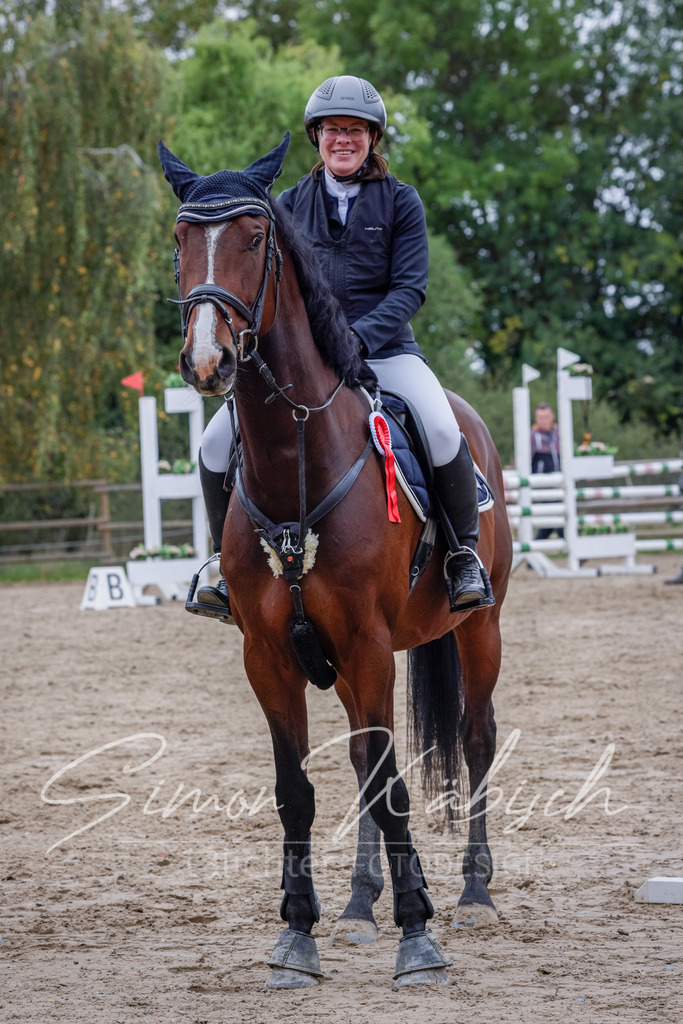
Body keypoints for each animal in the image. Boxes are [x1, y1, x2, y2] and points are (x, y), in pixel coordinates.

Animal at [158, 133, 513, 990]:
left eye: (255, 237)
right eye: (179, 240)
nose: (208, 362)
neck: (296, 458)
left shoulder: (366, 644)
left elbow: (391, 787)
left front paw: (418, 936)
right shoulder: (268, 655)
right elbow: (299, 789)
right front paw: (298, 934)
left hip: (478, 628)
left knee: (475, 737)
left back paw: (473, 894)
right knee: (359, 761)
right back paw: (357, 904)